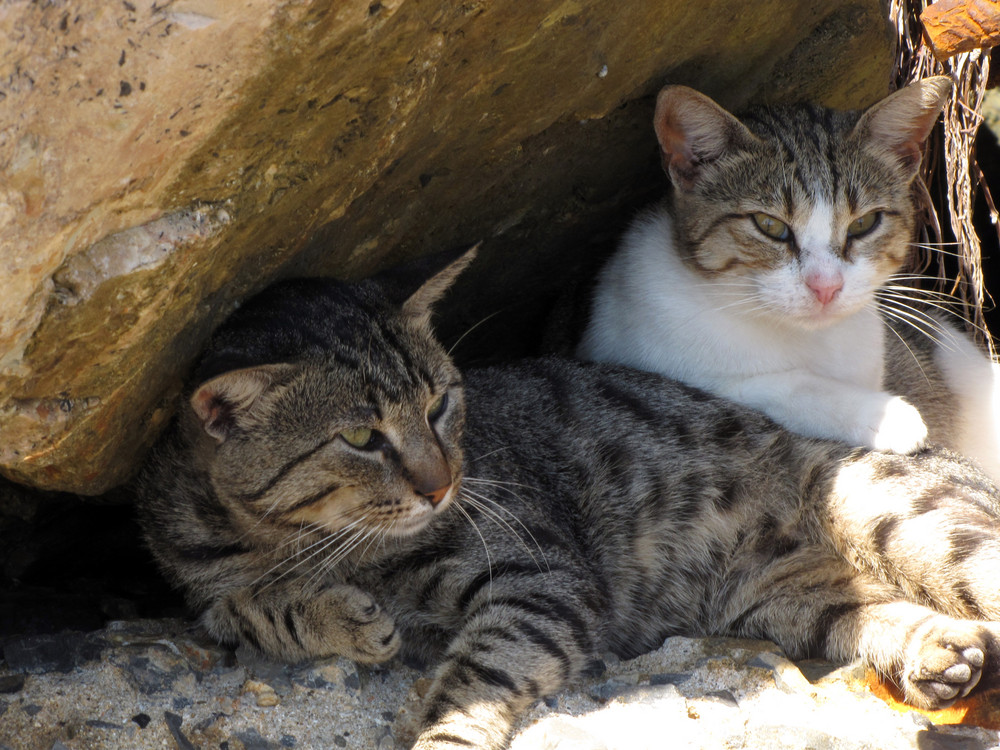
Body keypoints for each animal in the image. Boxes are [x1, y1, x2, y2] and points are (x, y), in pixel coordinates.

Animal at [143, 253, 1000, 750]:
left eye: (440, 405)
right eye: (360, 436)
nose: (441, 484)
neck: (279, 537)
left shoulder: (540, 577)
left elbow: (480, 670)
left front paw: (443, 733)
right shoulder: (199, 585)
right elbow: (236, 611)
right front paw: (337, 616)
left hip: (903, 516)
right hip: (783, 599)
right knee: (878, 614)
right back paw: (938, 655)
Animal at [576, 76, 1000, 482]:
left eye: (864, 224)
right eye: (769, 225)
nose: (826, 286)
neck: (801, 338)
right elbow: (764, 385)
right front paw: (883, 415)